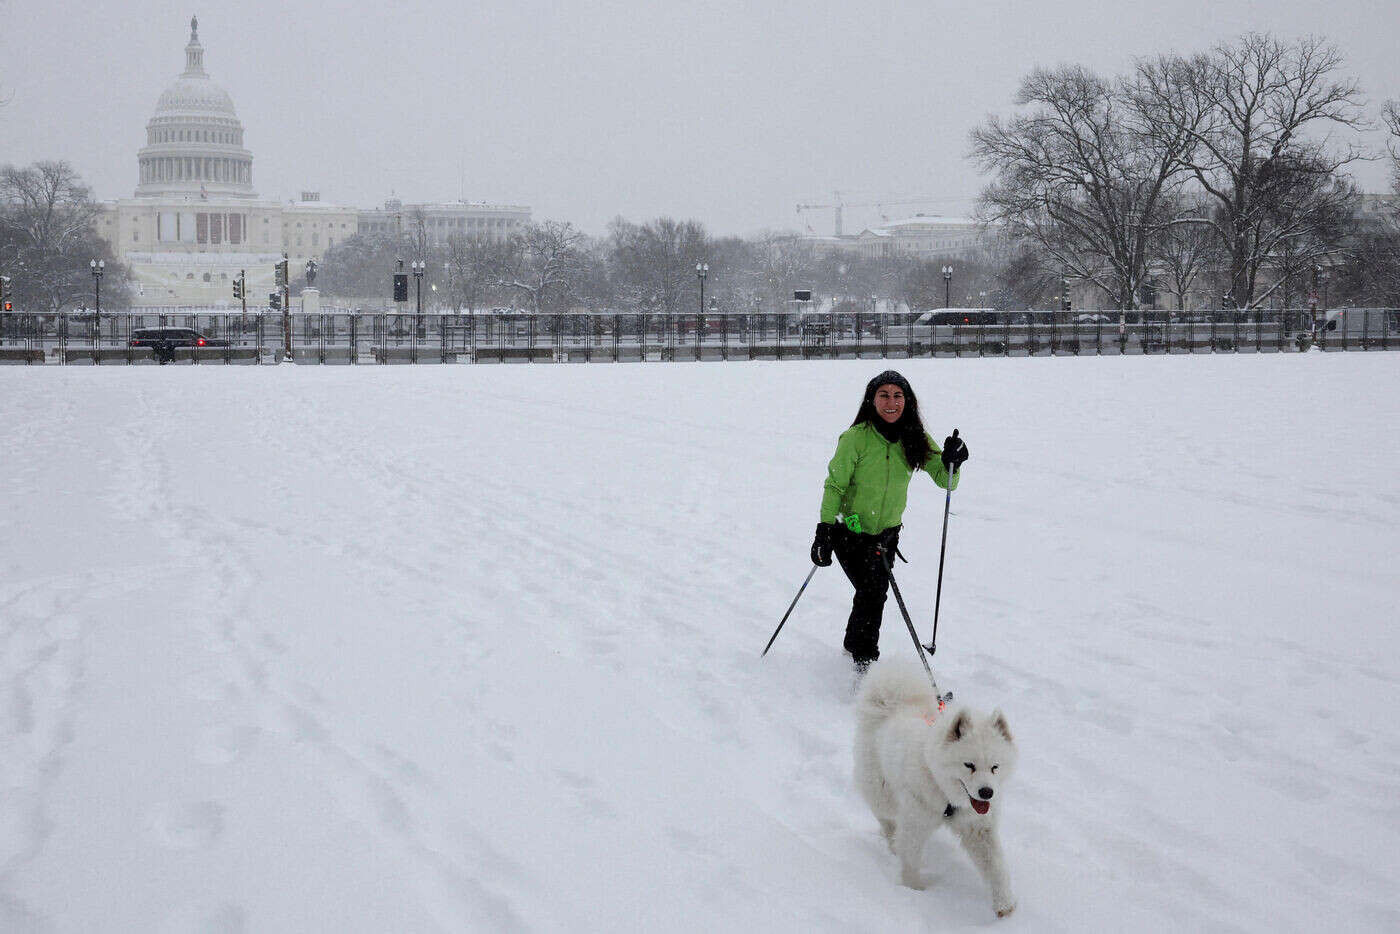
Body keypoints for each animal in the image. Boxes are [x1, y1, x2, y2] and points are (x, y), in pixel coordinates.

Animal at [851, 660, 1019, 918]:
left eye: (995, 767)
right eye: (969, 765)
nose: (987, 792)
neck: (943, 789)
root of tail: (893, 706)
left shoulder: (978, 828)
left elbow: (996, 866)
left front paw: (1004, 904)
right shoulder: (915, 821)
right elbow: (910, 857)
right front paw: (913, 890)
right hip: (882, 792)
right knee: (886, 820)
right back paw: (891, 843)